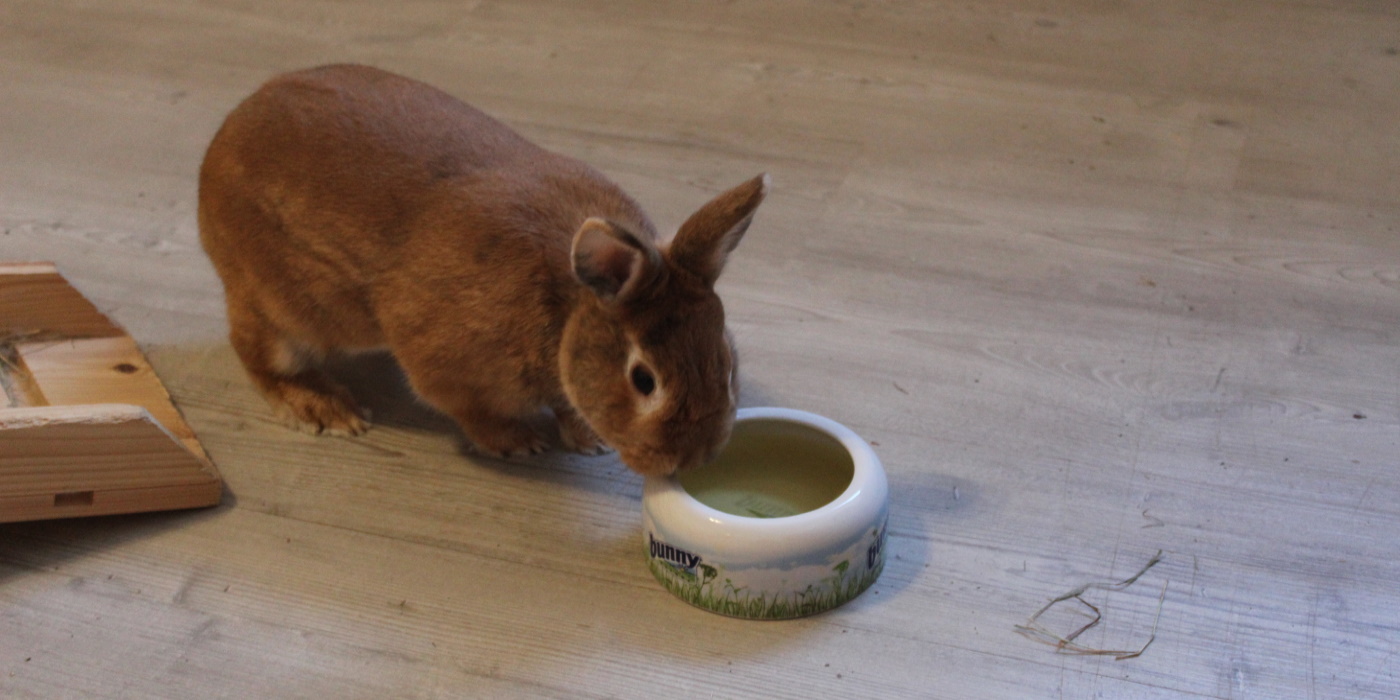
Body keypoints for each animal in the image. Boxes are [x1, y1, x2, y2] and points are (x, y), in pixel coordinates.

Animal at [197, 64, 766, 477]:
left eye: (725, 361)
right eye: (643, 380)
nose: (692, 459)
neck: (567, 308)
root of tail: (222, 141)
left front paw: (587, 439)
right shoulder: (442, 362)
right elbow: (465, 408)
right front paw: (517, 443)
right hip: (283, 309)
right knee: (257, 352)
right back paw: (324, 409)